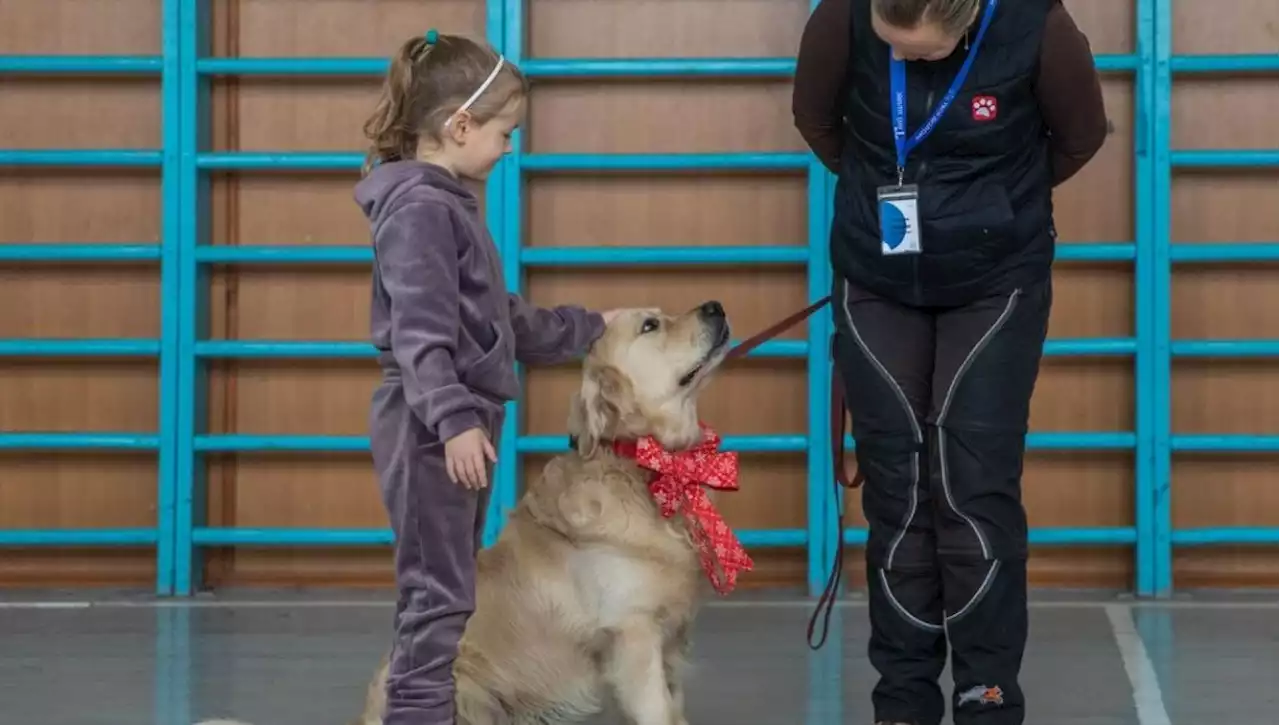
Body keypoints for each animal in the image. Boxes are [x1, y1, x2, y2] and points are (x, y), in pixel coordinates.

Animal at [198, 299, 742, 725]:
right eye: (651, 325)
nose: (716, 305)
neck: (643, 464)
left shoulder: (670, 645)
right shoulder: (634, 638)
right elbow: (659, 712)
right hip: (469, 687)